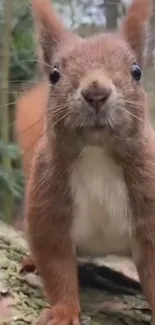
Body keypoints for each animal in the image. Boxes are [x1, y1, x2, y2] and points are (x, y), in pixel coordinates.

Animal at [15, 0, 155, 324]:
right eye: (54, 74)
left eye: (136, 71)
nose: (96, 92)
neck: (96, 155)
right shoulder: (48, 208)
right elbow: (56, 264)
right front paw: (63, 311)